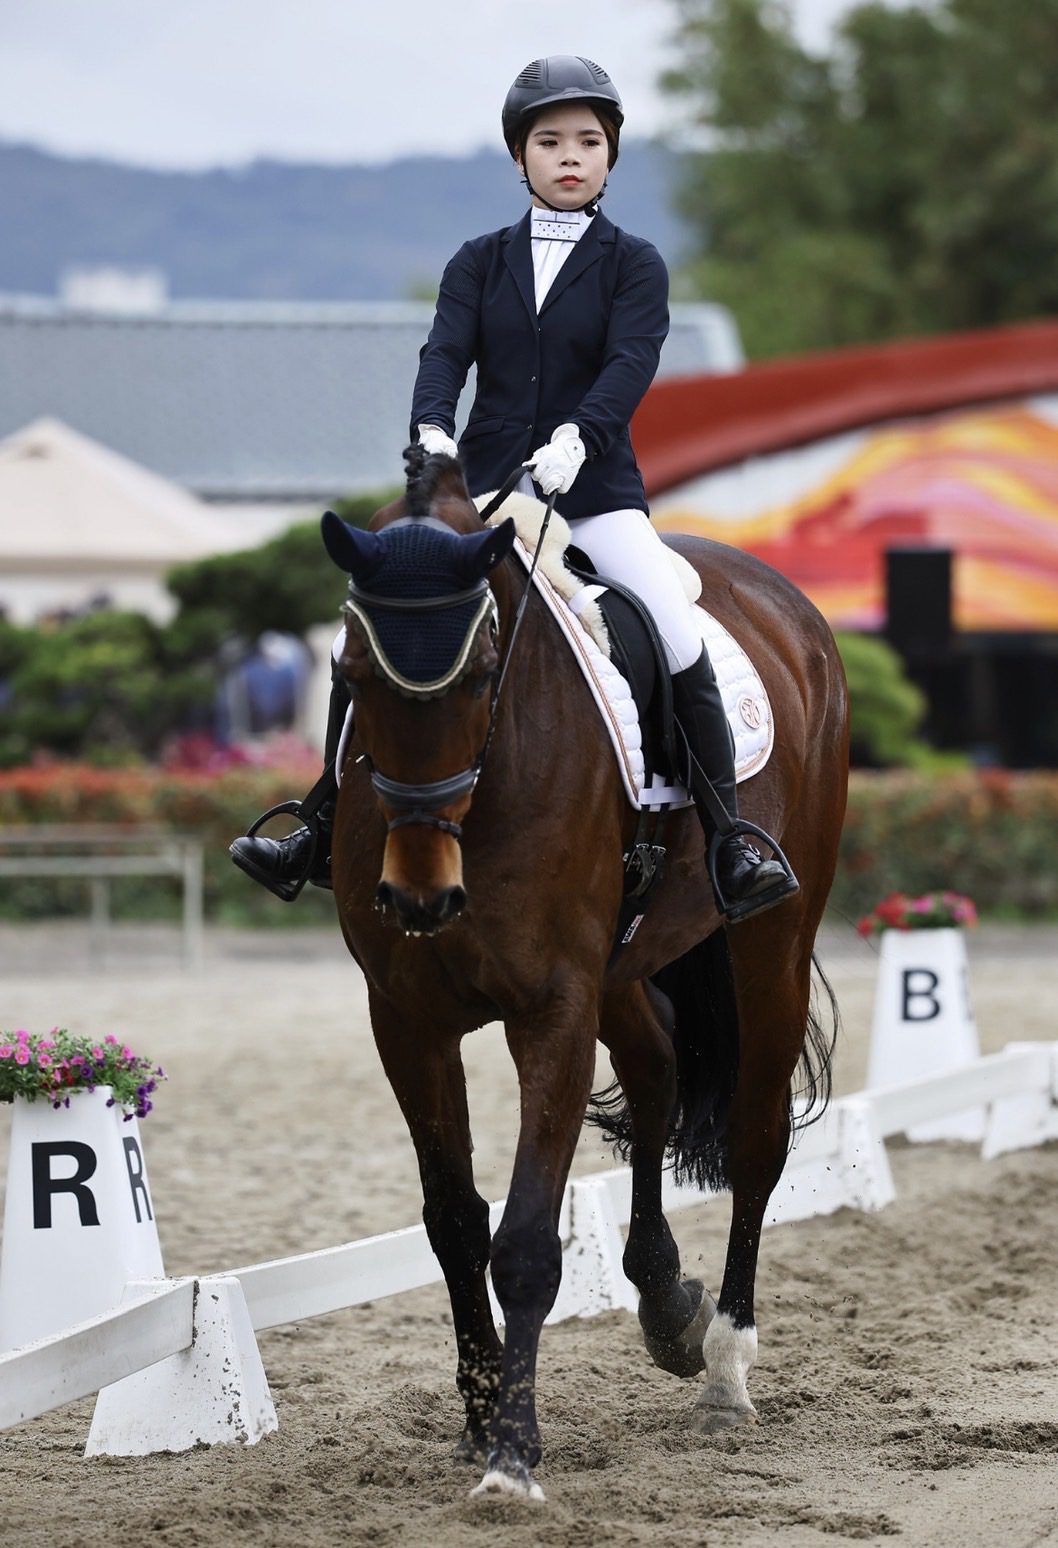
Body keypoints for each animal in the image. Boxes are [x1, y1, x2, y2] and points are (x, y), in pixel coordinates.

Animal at [322, 445, 855, 1498]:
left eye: (483, 675)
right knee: (654, 1072)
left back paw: (724, 1368)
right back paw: (665, 1302)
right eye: (352, 674)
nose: (418, 899)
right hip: (624, 963)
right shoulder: (406, 1018)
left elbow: (525, 1241)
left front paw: (512, 1456)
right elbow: (454, 1221)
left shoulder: (551, 1008)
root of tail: (786, 602)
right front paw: (478, 1416)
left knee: (757, 1141)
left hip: (769, 939)